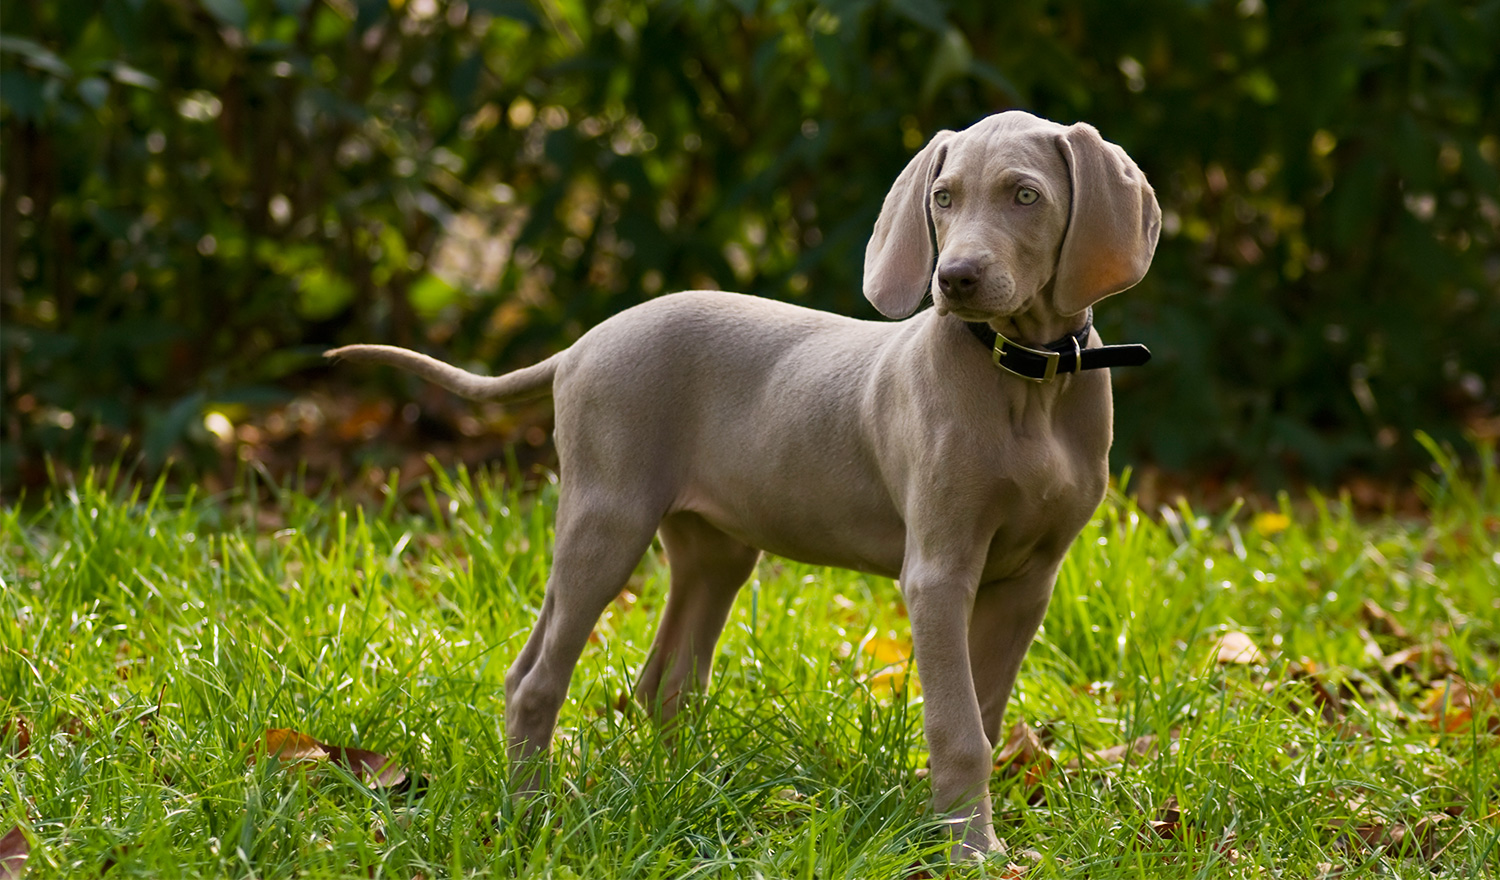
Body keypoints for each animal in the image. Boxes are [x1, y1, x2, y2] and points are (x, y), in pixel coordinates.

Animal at [334, 110, 1164, 863]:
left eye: (1025, 196)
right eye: (944, 197)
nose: (953, 279)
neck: (1028, 379)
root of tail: (581, 345)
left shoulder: (1030, 580)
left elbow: (986, 717)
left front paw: (967, 830)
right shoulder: (938, 573)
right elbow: (957, 727)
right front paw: (971, 852)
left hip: (714, 548)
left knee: (663, 682)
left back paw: (682, 795)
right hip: (608, 517)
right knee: (536, 676)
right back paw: (534, 810)